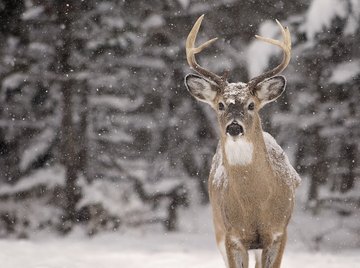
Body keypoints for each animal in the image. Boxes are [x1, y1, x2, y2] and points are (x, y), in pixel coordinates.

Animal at [184, 15, 300, 268]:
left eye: (251, 105)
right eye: (220, 105)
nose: (234, 127)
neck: (255, 204)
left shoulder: (279, 233)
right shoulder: (232, 235)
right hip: (217, 227)